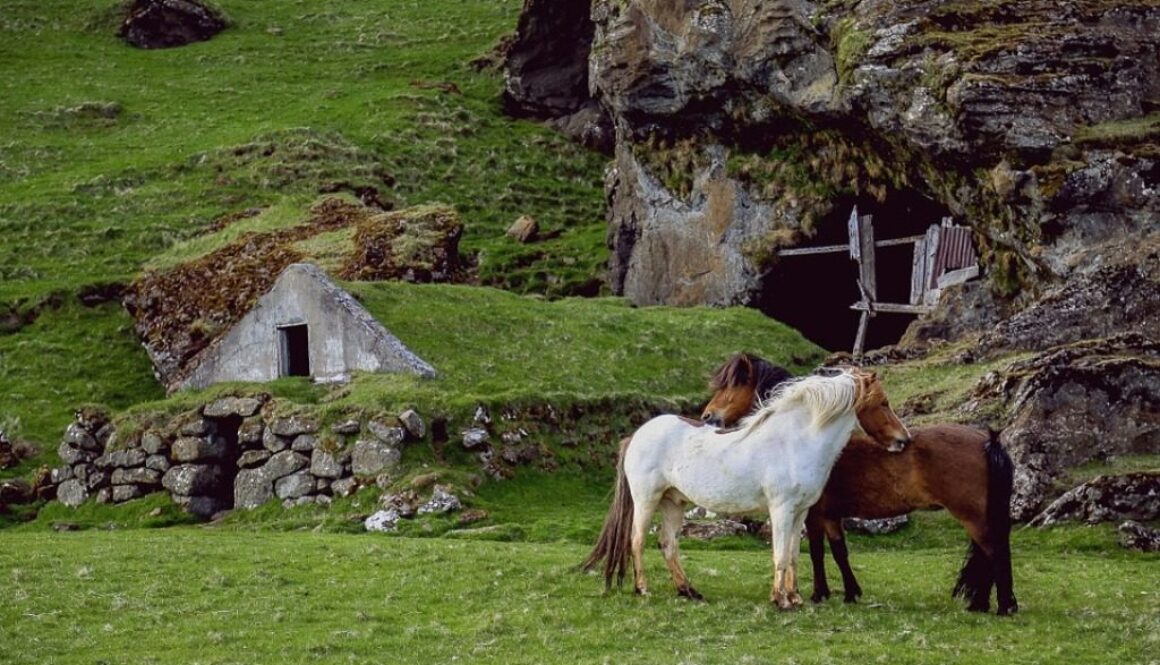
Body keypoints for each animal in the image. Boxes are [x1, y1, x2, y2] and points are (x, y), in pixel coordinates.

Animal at [582, 368, 910, 610]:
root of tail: (636, 435)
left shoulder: (800, 513)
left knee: (668, 544)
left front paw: (795, 597)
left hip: (674, 503)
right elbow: (780, 555)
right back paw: (643, 589)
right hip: (646, 500)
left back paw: (689, 591)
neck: (795, 442)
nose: (904, 440)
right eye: (883, 403)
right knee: (637, 541)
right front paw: (781, 601)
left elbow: (793, 554)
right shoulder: (781, 510)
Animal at [701, 353, 1018, 615]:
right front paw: (849, 592)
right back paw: (981, 604)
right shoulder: (828, 515)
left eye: (732, 386)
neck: (806, 437)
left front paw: (820, 593)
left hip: (972, 516)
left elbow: (818, 551)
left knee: (994, 551)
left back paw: (1003, 606)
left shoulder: (815, 514)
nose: (707, 416)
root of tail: (988, 440)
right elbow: (838, 551)